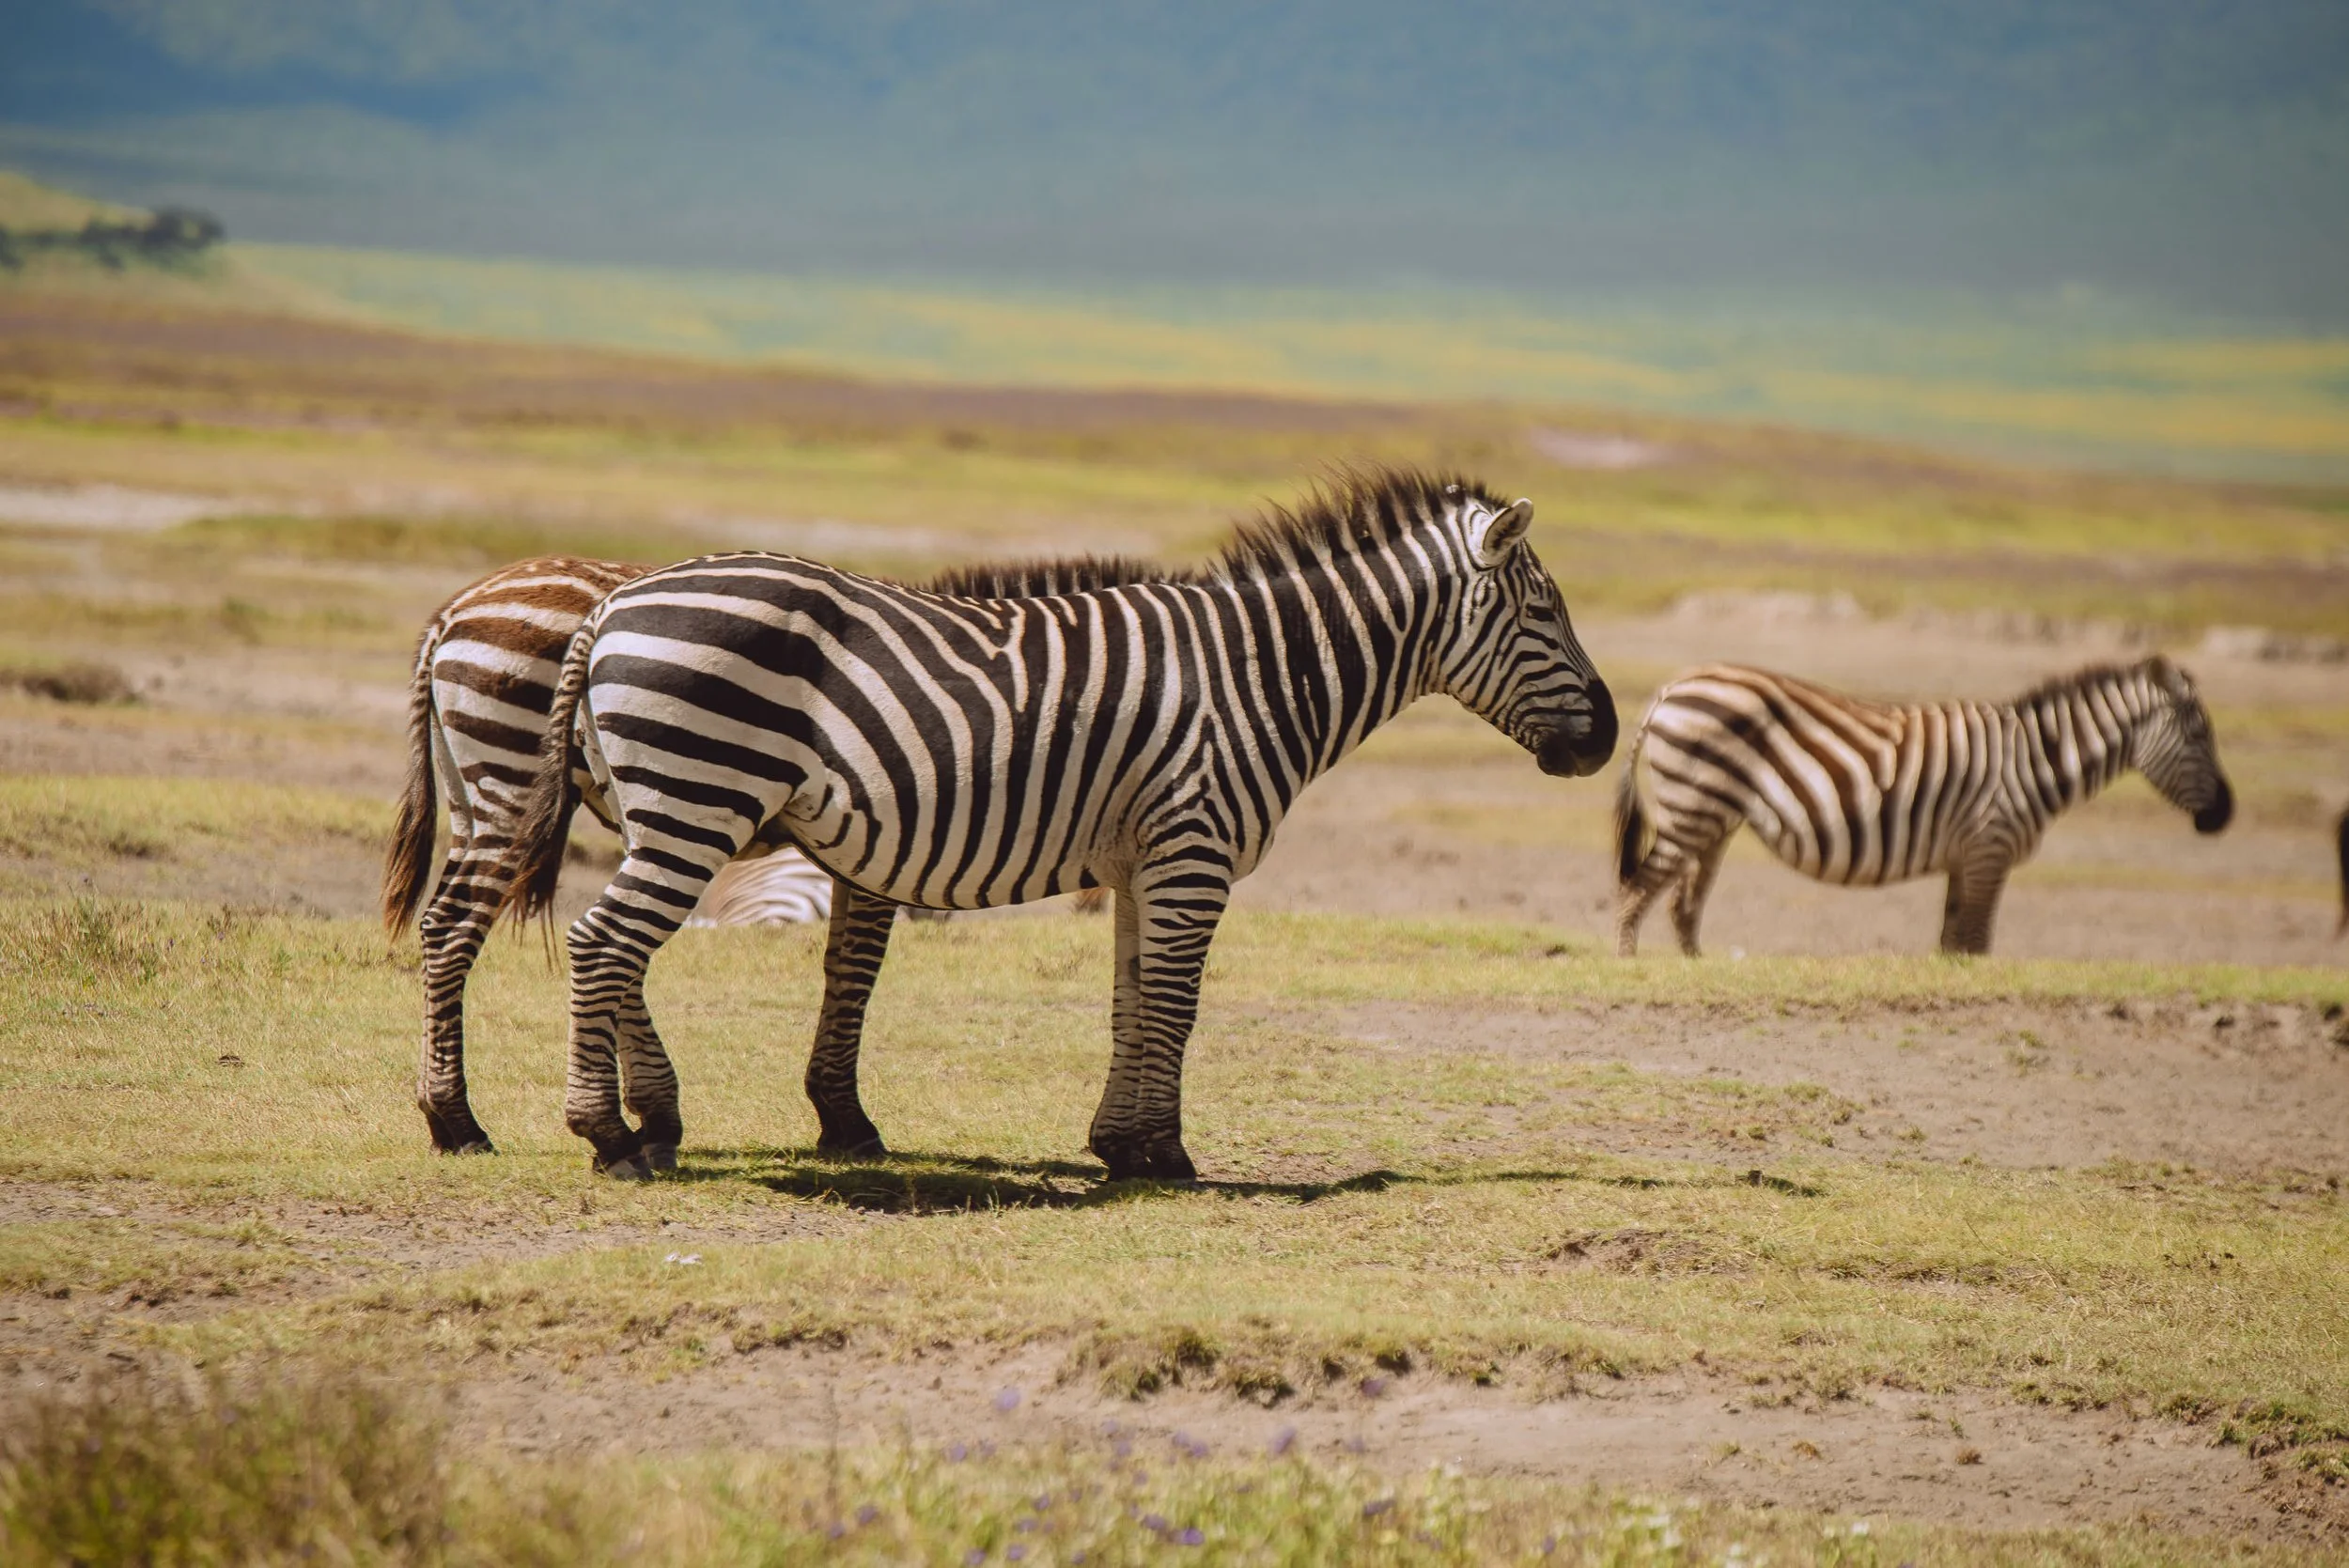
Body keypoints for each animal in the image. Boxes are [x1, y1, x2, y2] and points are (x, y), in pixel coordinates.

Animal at [383, 553, 1168, 1156]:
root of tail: (453, 611)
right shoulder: (880, 836)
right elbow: (856, 968)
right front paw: (845, 1120)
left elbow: (841, 963)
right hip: (522, 781)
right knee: (471, 931)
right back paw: (466, 1120)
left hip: (486, 795)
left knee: (460, 923)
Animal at [495, 468, 1617, 1180]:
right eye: (1545, 613)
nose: (1605, 738)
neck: (1261, 673)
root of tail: (615, 603)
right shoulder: (1194, 848)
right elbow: (1176, 1006)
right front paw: (1166, 1155)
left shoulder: (1140, 861)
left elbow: (1130, 1003)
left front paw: (1120, 1144)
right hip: (698, 792)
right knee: (603, 942)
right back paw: (607, 1134)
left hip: (666, 806)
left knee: (622, 951)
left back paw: (651, 1122)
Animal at [1614, 656, 2232, 958]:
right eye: (2199, 734)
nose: (2224, 815)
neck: (2038, 759)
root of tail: (1671, 689)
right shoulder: (1990, 847)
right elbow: (1977, 944)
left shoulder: (1967, 859)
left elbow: (1952, 943)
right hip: (1693, 806)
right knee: (1638, 892)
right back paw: (1631, 966)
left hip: (1714, 816)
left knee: (1682, 905)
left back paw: (1696, 969)